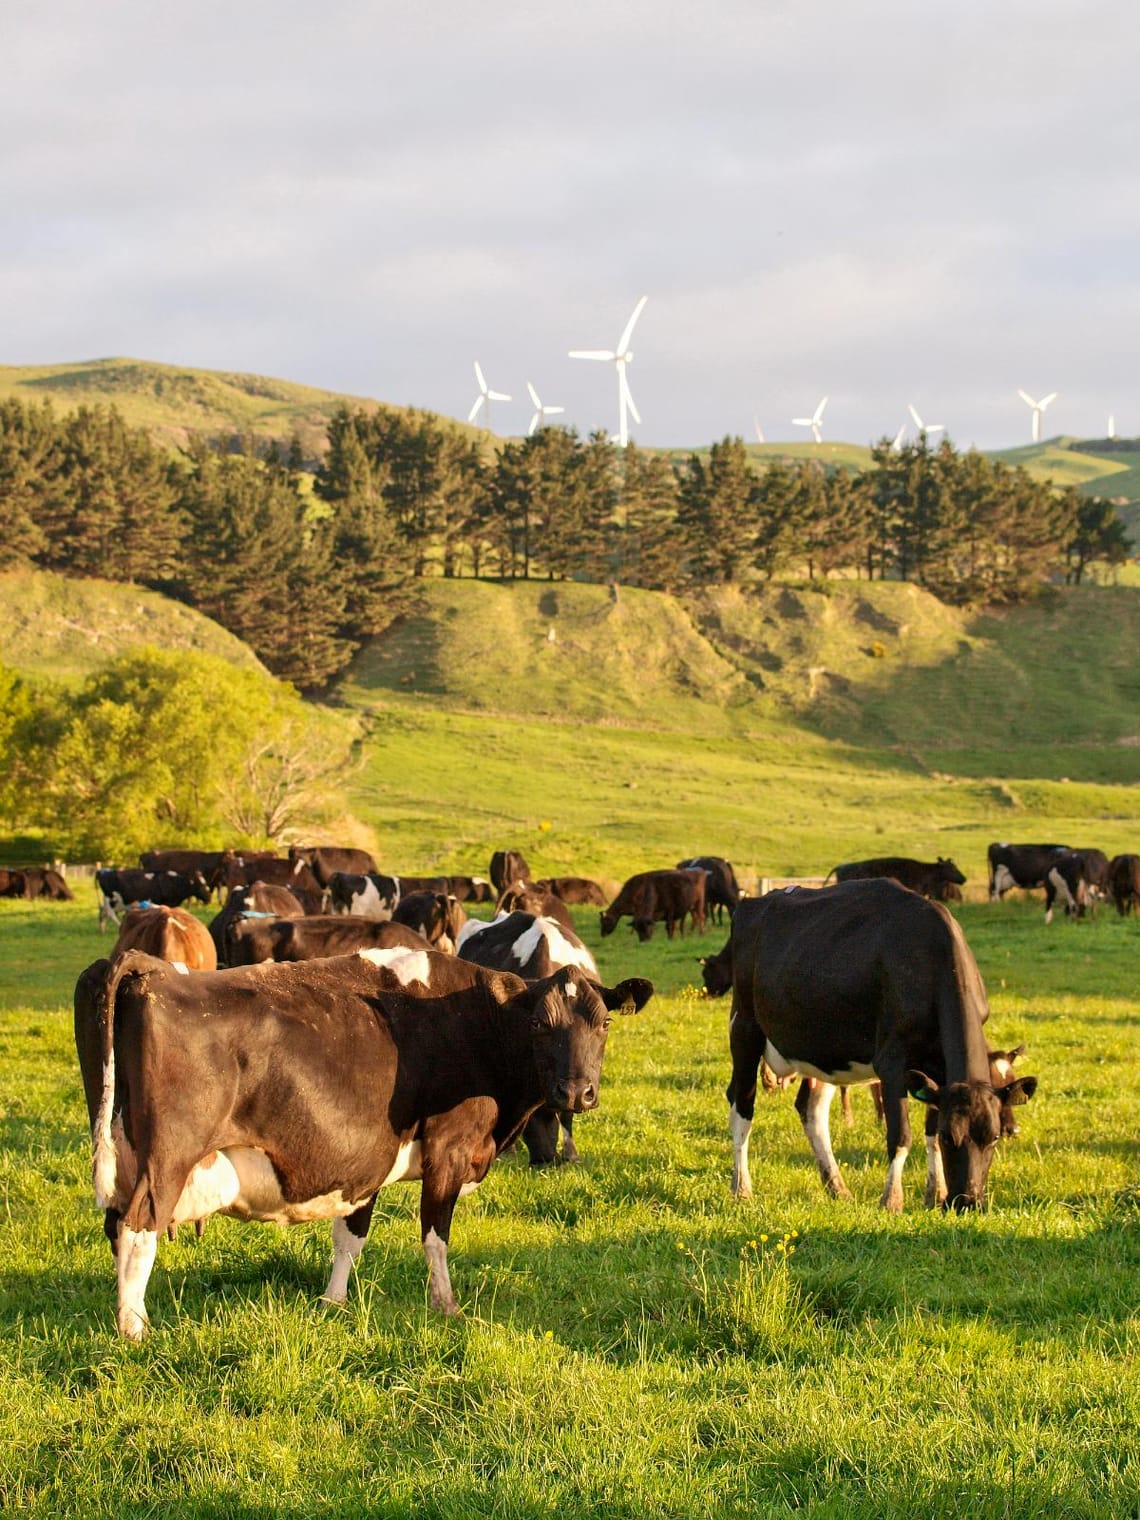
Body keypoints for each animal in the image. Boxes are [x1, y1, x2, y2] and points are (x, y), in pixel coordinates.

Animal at [76, 954, 656, 1337]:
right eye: (538, 1022)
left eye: (604, 1022)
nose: (576, 1092)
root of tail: (148, 968)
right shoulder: (447, 1149)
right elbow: (434, 1236)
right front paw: (446, 1308)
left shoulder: (364, 1161)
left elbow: (349, 1237)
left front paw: (332, 1304)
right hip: (166, 1162)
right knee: (137, 1232)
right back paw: (135, 1333)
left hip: (125, 1153)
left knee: (116, 1227)